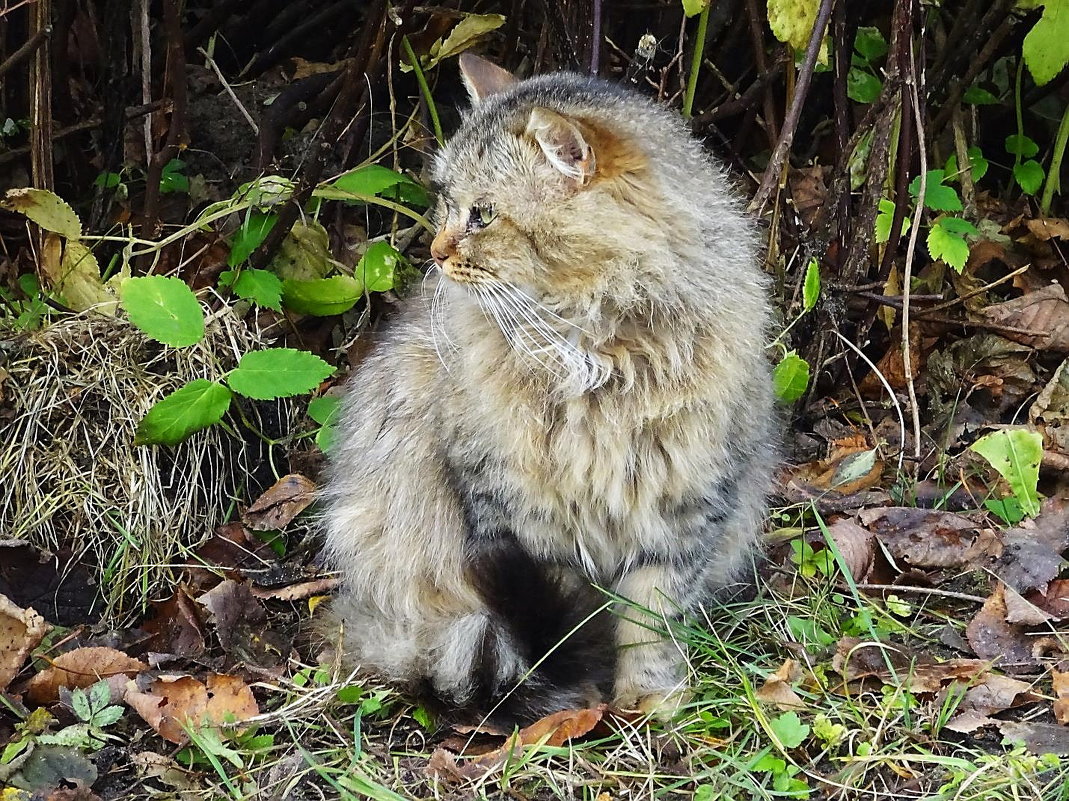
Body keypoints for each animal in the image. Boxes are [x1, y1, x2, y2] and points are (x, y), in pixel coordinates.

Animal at [320, 53, 773, 722]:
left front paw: (650, 696)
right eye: (447, 204)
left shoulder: (686, 502)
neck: (599, 351)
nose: (436, 252)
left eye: (481, 214)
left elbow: (651, 619)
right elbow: (558, 624)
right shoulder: (514, 511)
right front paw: (567, 702)